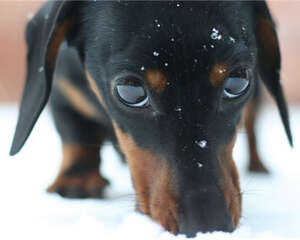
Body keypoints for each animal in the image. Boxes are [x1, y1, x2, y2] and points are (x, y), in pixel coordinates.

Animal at [9, 0, 292, 236]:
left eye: (238, 81)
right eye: (129, 90)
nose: (208, 225)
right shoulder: (63, 89)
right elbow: (74, 135)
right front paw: (77, 177)